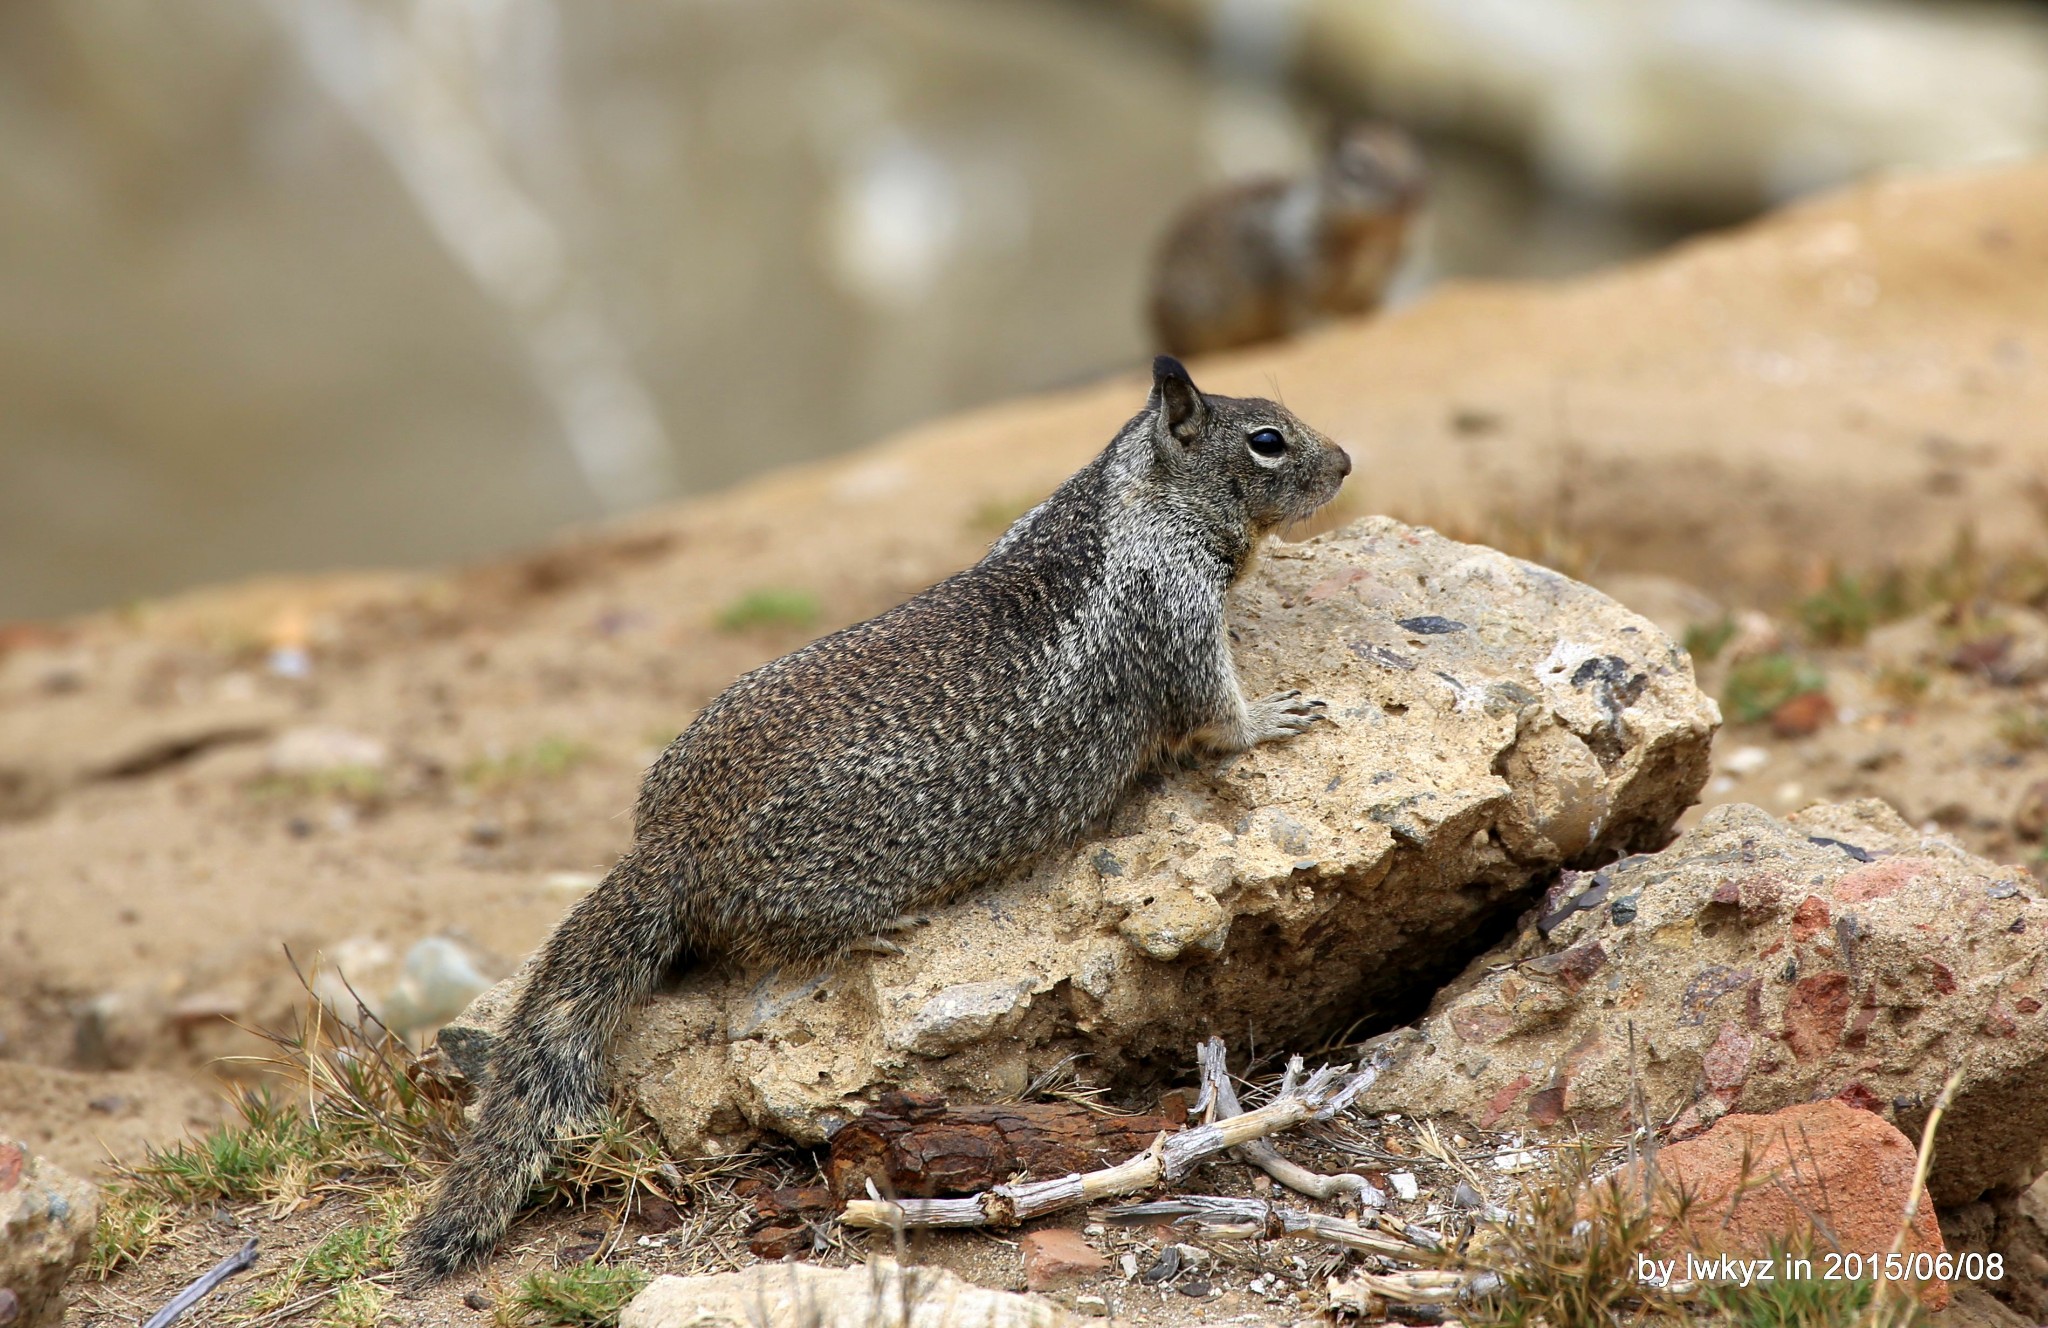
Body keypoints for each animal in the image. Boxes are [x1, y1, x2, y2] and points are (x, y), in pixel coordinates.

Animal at [401, 358, 1351, 1278]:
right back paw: (870, 933)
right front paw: (1276, 715)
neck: (1126, 501)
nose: (1345, 463)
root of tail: (668, 848)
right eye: (1267, 440)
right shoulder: (1177, 616)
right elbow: (1215, 714)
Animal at [1155, 122, 1425, 360]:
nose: (1415, 192)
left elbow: (1370, 309)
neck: (1372, 238)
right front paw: (1322, 330)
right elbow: (1301, 315)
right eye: (1356, 170)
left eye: (1413, 156)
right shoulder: (1297, 276)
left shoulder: (1371, 287)